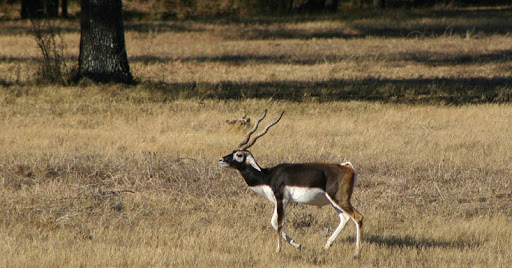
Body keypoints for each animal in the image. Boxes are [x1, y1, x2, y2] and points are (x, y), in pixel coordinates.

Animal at [218, 109, 362, 258]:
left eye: (239, 155)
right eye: (233, 152)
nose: (221, 159)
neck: (268, 176)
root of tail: (348, 167)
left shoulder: (281, 200)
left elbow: (279, 223)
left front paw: (278, 250)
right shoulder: (278, 202)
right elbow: (273, 223)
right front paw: (298, 245)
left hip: (339, 199)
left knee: (358, 217)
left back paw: (356, 253)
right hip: (334, 201)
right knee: (345, 218)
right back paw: (327, 246)